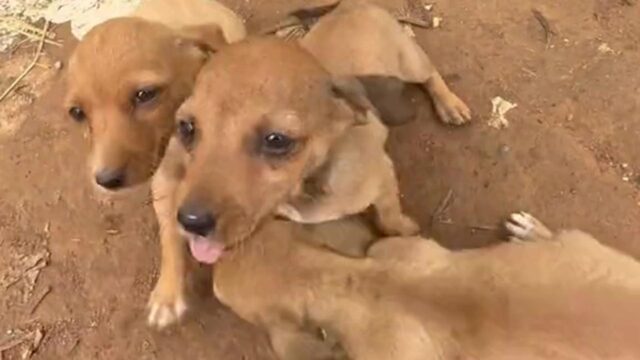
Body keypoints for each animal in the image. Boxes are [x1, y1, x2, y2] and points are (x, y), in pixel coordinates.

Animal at [65, 1, 244, 328]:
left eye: (145, 94)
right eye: (77, 112)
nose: (106, 180)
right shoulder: (163, 183)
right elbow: (169, 235)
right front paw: (168, 293)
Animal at [276, 0, 470, 236]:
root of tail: (349, 4)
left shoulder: (383, 174)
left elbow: (389, 218)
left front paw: (405, 230)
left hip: (410, 61)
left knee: (431, 75)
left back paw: (450, 105)